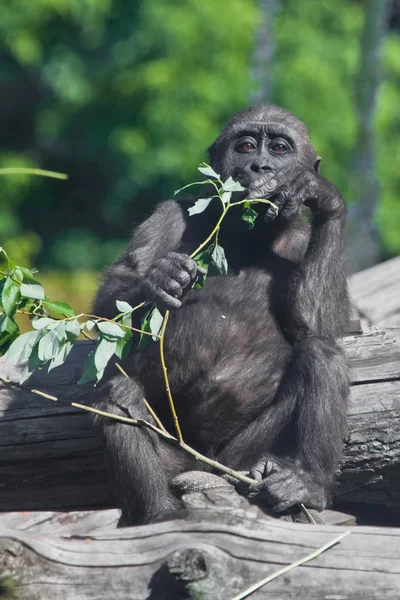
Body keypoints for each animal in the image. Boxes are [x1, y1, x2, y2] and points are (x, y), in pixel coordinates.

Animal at [92, 105, 348, 528]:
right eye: (245, 146)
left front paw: (322, 195)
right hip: (181, 466)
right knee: (119, 399)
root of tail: (208, 471)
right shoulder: (168, 215)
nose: (260, 166)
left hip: (239, 460)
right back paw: (157, 512)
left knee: (321, 354)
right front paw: (160, 279)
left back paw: (306, 483)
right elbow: (110, 309)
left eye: (280, 148)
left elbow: (316, 323)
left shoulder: (302, 242)